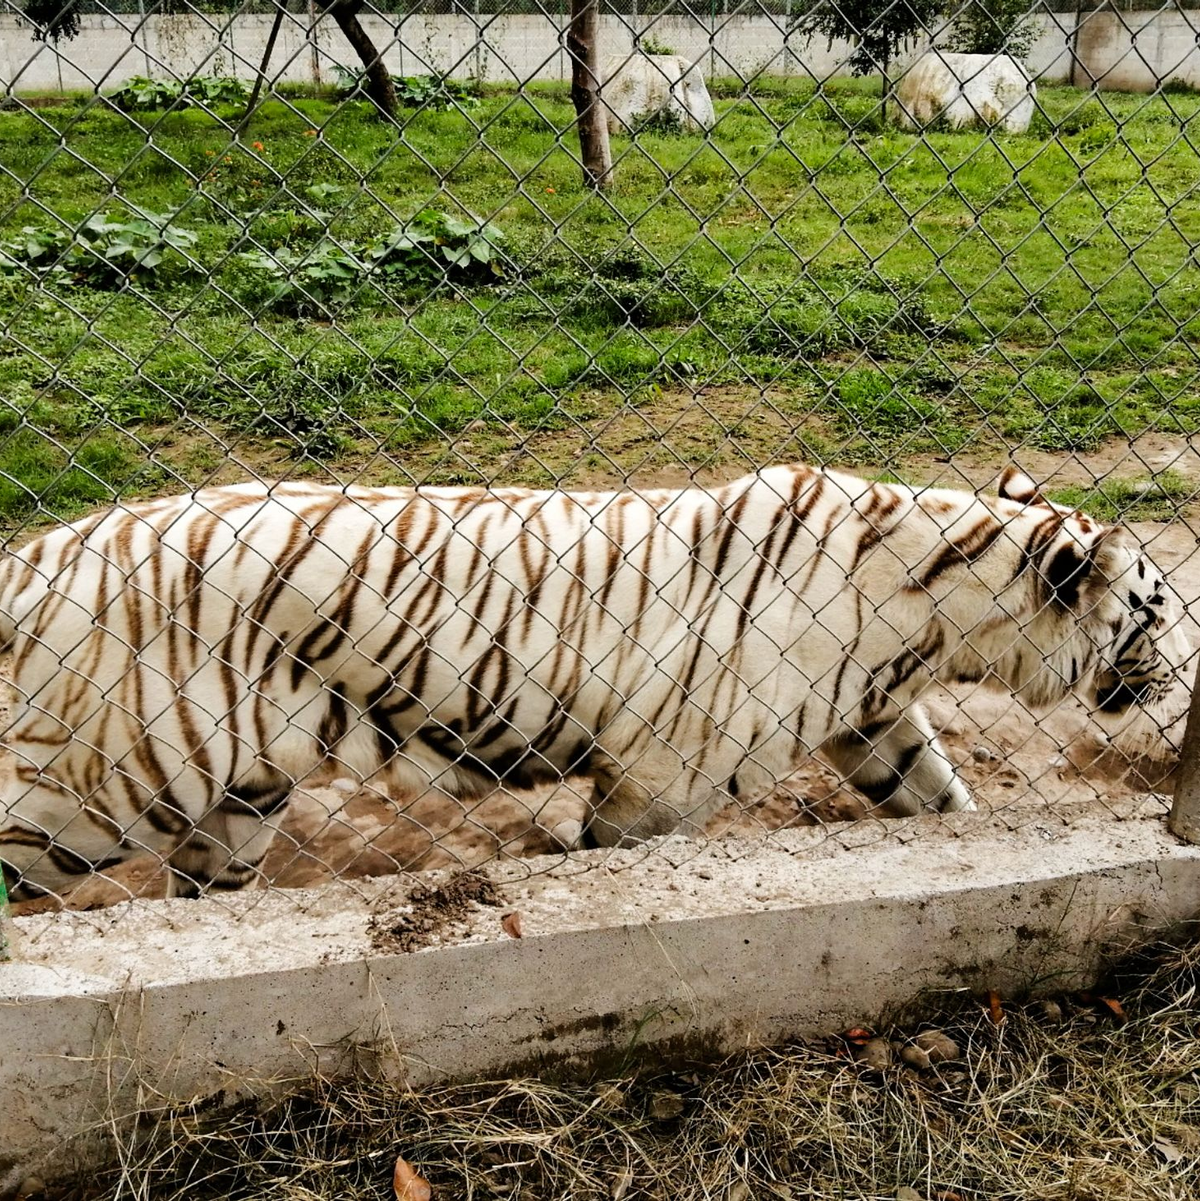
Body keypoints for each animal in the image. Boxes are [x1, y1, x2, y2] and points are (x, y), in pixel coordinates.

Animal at [0, 463, 1190, 901]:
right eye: (1157, 607)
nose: (1181, 674)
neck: (934, 613)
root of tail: (31, 555)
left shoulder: (876, 718)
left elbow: (942, 796)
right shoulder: (662, 778)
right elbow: (614, 856)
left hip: (236, 800)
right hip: (88, 793)